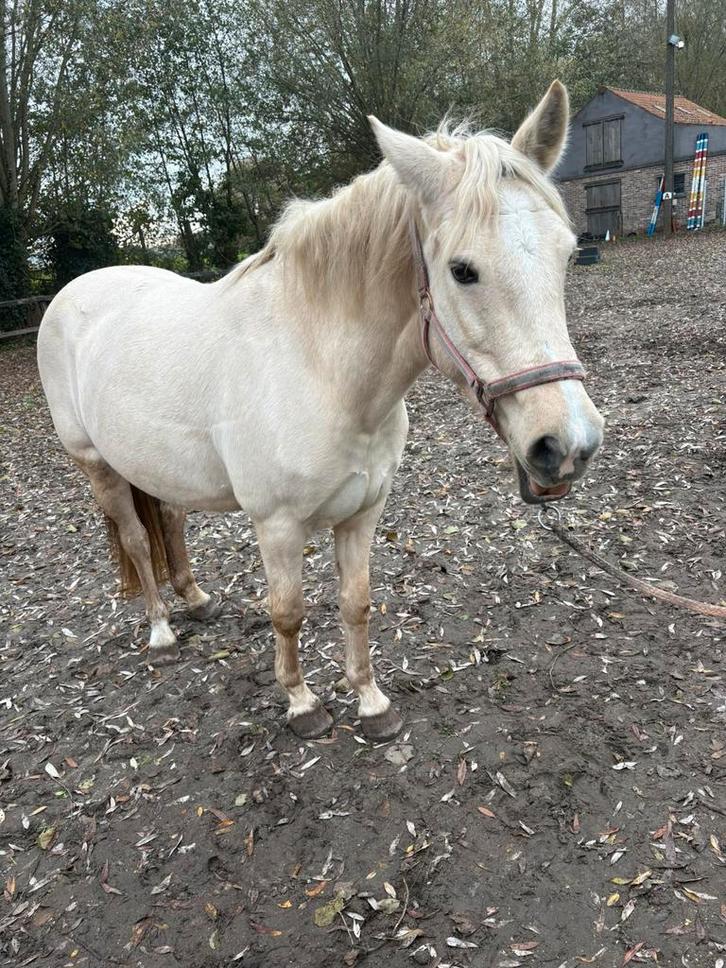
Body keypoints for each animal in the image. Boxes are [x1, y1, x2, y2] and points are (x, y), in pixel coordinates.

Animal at [37, 81, 604, 743]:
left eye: (567, 255)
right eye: (463, 271)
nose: (567, 445)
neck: (321, 368)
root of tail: (74, 291)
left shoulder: (362, 514)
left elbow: (355, 603)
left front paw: (372, 702)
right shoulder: (277, 526)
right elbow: (288, 612)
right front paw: (302, 704)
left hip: (157, 467)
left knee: (170, 522)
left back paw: (196, 599)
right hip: (97, 465)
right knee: (132, 538)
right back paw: (161, 630)